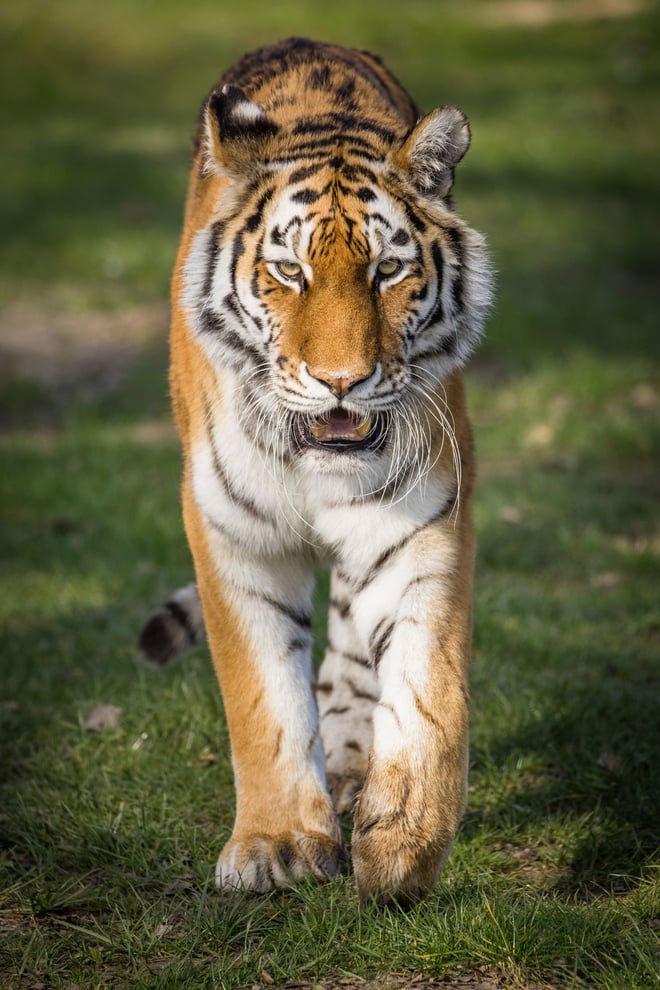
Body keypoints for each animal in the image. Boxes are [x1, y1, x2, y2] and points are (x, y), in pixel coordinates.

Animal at [139, 37, 492, 903]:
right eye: (290, 272)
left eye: (387, 272)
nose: (341, 380)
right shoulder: (232, 532)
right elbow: (261, 694)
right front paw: (276, 844)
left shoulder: (424, 519)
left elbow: (428, 689)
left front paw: (403, 841)